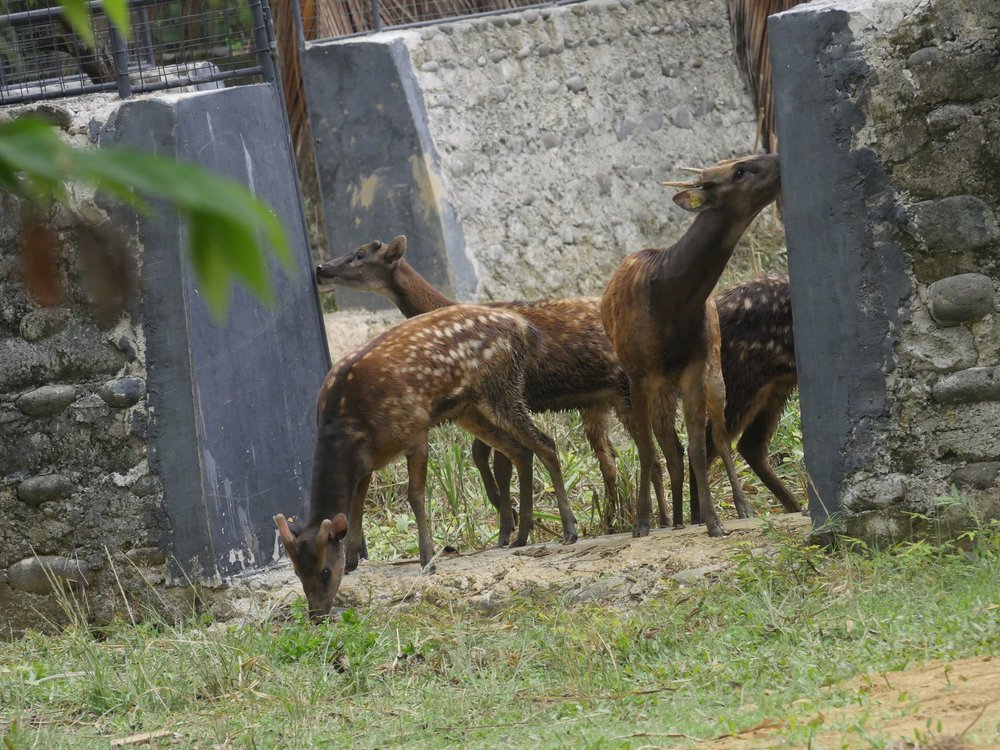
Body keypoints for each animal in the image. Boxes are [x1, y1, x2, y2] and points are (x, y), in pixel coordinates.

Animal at [274, 306, 580, 624]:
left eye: (324, 571)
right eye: (297, 571)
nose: (316, 614)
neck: (347, 426)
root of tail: (520, 324)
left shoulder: (415, 429)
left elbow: (415, 495)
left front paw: (428, 560)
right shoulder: (367, 461)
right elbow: (357, 505)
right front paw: (353, 560)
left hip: (500, 388)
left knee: (546, 444)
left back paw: (569, 530)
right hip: (471, 409)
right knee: (521, 451)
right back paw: (518, 536)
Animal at [318, 235, 680, 536]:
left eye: (359, 254)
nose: (321, 268)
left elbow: (496, 460)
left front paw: (510, 523)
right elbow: (487, 457)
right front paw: (511, 518)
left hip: (625, 392)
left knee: (653, 452)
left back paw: (659, 519)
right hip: (598, 402)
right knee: (613, 458)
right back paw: (617, 519)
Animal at [600, 154, 780, 540]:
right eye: (739, 170)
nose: (777, 159)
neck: (671, 304)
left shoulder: (695, 368)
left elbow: (699, 447)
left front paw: (714, 521)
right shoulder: (637, 376)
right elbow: (648, 450)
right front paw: (642, 523)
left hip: (715, 371)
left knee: (720, 438)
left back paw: (738, 507)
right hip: (662, 389)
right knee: (671, 448)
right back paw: (680, 518)